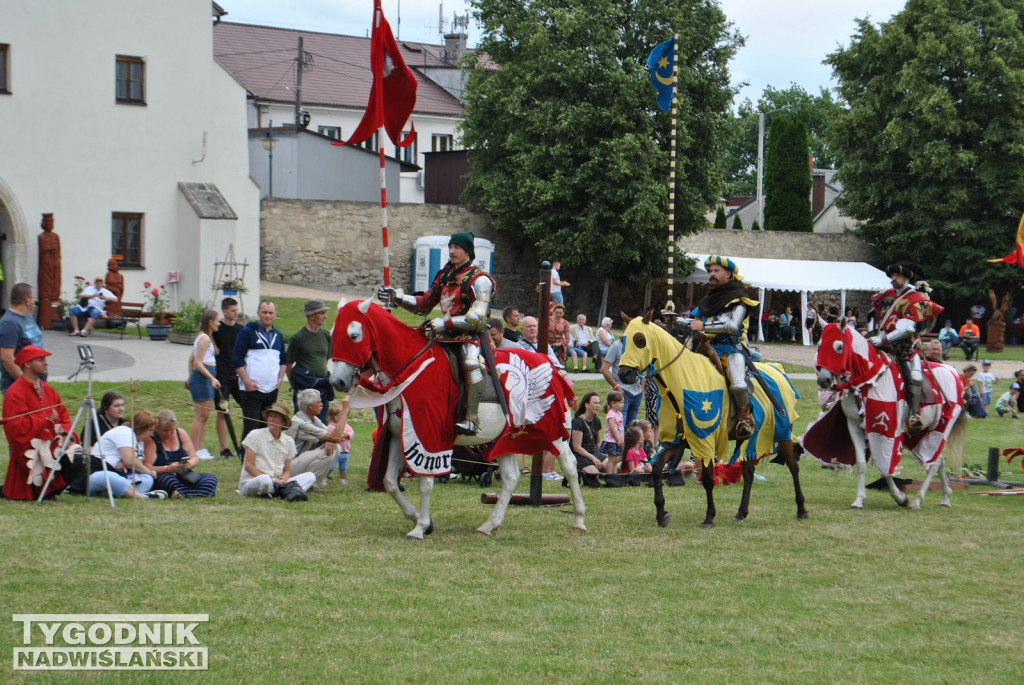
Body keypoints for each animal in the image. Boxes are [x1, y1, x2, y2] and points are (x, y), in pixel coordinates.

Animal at [327, 298, 585, 540]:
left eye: (353, 335)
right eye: (332, 335)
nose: (337, 381)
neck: (412, 369)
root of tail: (551, 364)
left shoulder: (427, 436)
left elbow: (425, 482)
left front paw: (419, 528)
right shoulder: (399, 435)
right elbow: (390, 482)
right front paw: (420, 520)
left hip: (557, 433)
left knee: (570, 466)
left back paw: (579, 519)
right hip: (505, 438)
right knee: (511, 476)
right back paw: (489, 525)